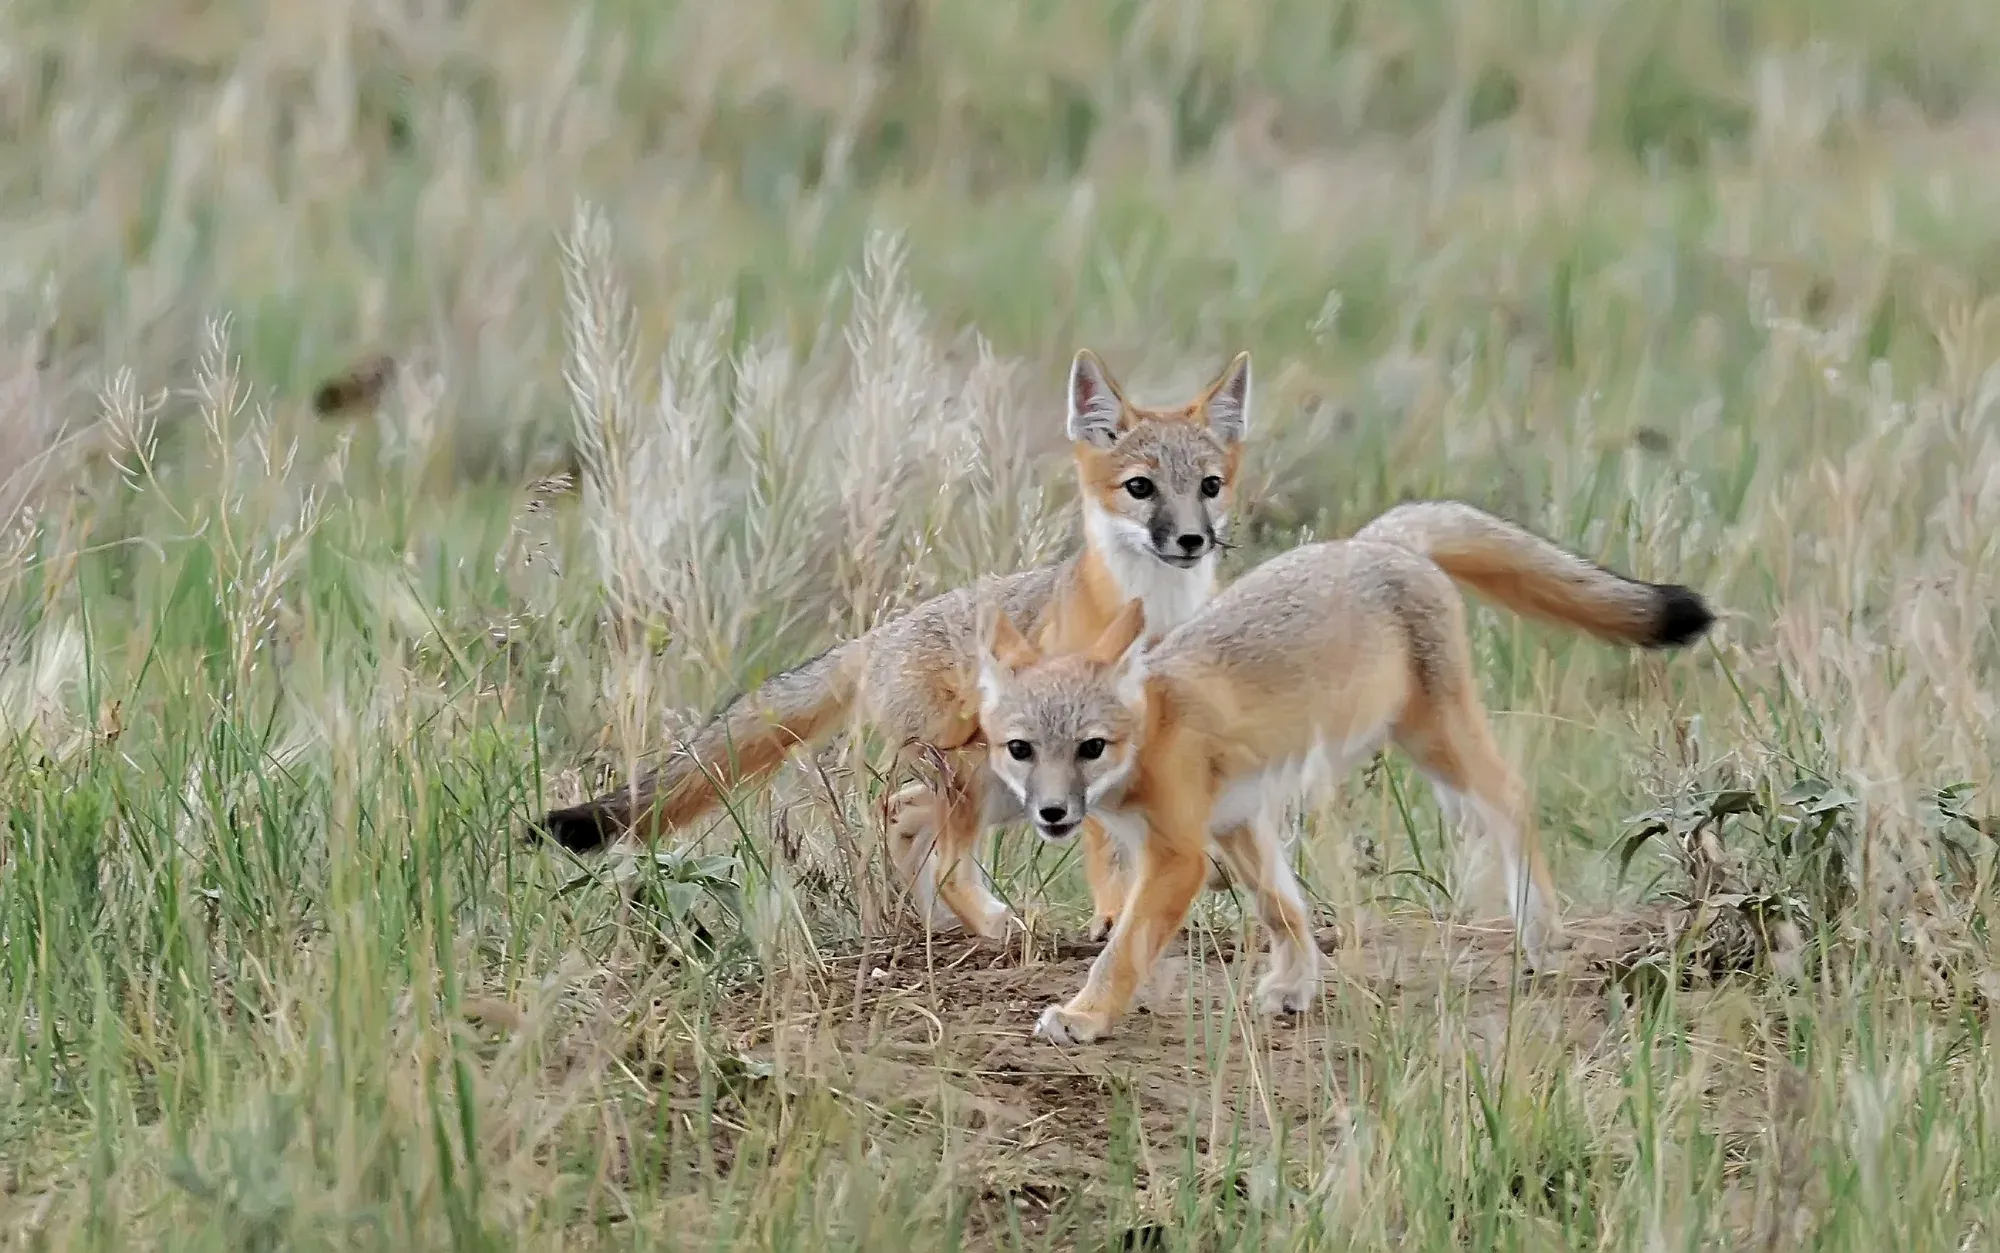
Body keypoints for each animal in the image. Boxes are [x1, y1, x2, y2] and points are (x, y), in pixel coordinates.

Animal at [535, 348, 1256, 939]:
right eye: (1140, 487)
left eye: (1209, 487)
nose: (1191, 540)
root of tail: (878, 636)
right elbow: (1107, 848)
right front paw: (1114, 916)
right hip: (978, 774)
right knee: (934, 848)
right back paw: (990, 924)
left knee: (901, 814)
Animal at [972, 500, 1716, 1045]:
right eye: (1021, 750)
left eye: (1091, 748)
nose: (1052, 814)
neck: (1155, 731)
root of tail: (1374, 540)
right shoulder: (1238, 820)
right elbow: (1283, 908)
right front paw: (1298, 985)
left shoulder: (1180, 855)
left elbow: (1123, 949)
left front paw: (1085, 1014)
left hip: (1436, 743)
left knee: (1512, 796)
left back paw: (1539, 932)